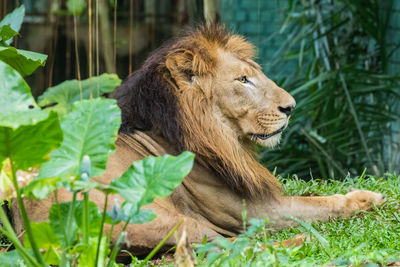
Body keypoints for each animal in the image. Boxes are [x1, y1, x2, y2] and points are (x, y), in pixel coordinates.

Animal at [13, 24, 384, 255]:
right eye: (243, 80)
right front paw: (368, 199)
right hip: (166, 218)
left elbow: (312, 194)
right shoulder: (254, 210)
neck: (221, 136)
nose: (291, 107)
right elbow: (319, 203)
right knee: (236, 248)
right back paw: (303, 241)